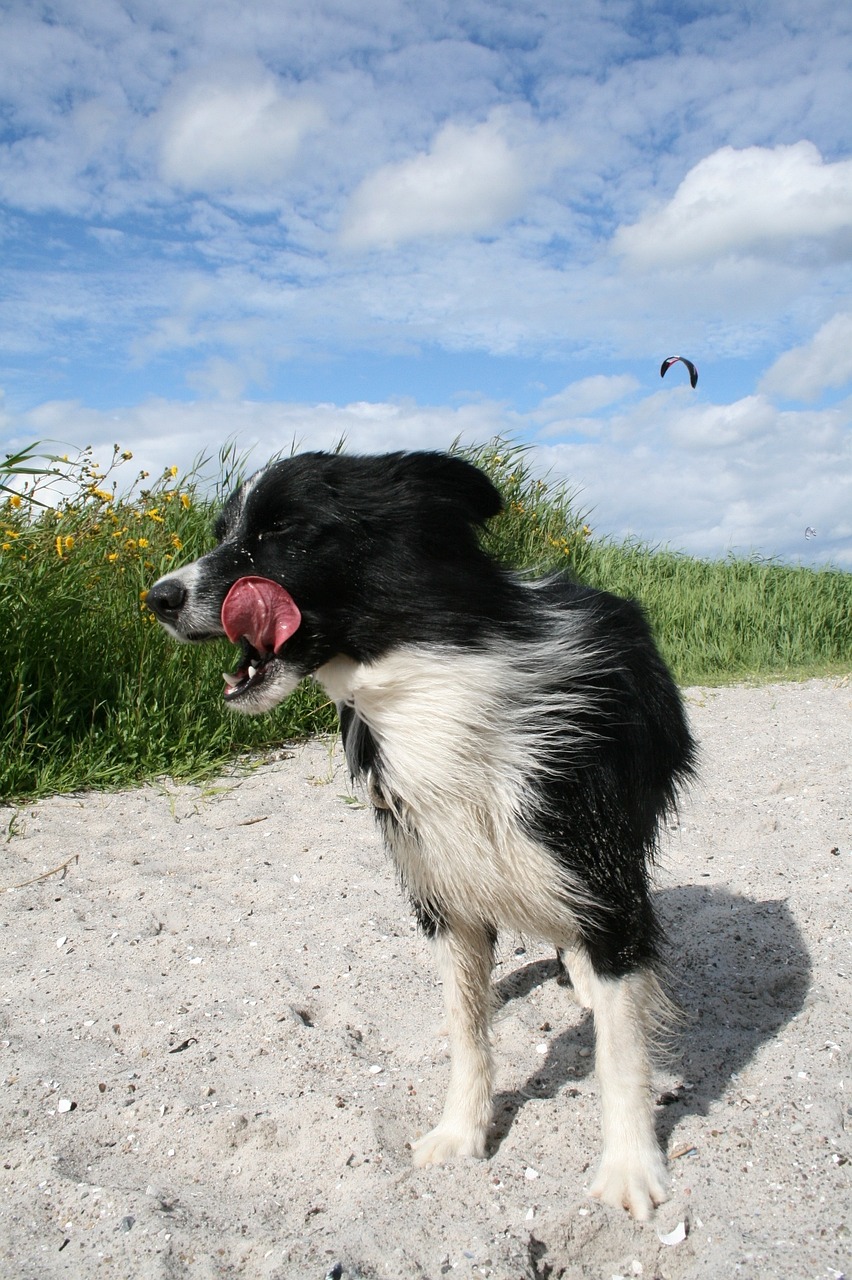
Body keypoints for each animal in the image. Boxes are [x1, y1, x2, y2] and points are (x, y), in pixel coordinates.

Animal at [144, 450, 690, 1218]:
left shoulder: (598, 864)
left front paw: (629, 1170)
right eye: (224, 533)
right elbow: (467, 1030)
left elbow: (621, 1047)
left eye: (282, 531)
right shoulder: (443, 888)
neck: (431, 685)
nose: (158, 597)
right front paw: (461, 1134)